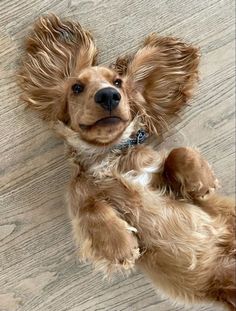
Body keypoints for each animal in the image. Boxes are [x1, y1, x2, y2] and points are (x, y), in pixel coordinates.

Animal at [19, 14, 235, 311]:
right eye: (77, 87)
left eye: (118, 83)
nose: (108, 95)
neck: (110, 157)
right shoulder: (80, 191)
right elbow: (86, 204)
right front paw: (119, 245)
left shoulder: (161, 179)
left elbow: (177, 153)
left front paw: (200, 180)